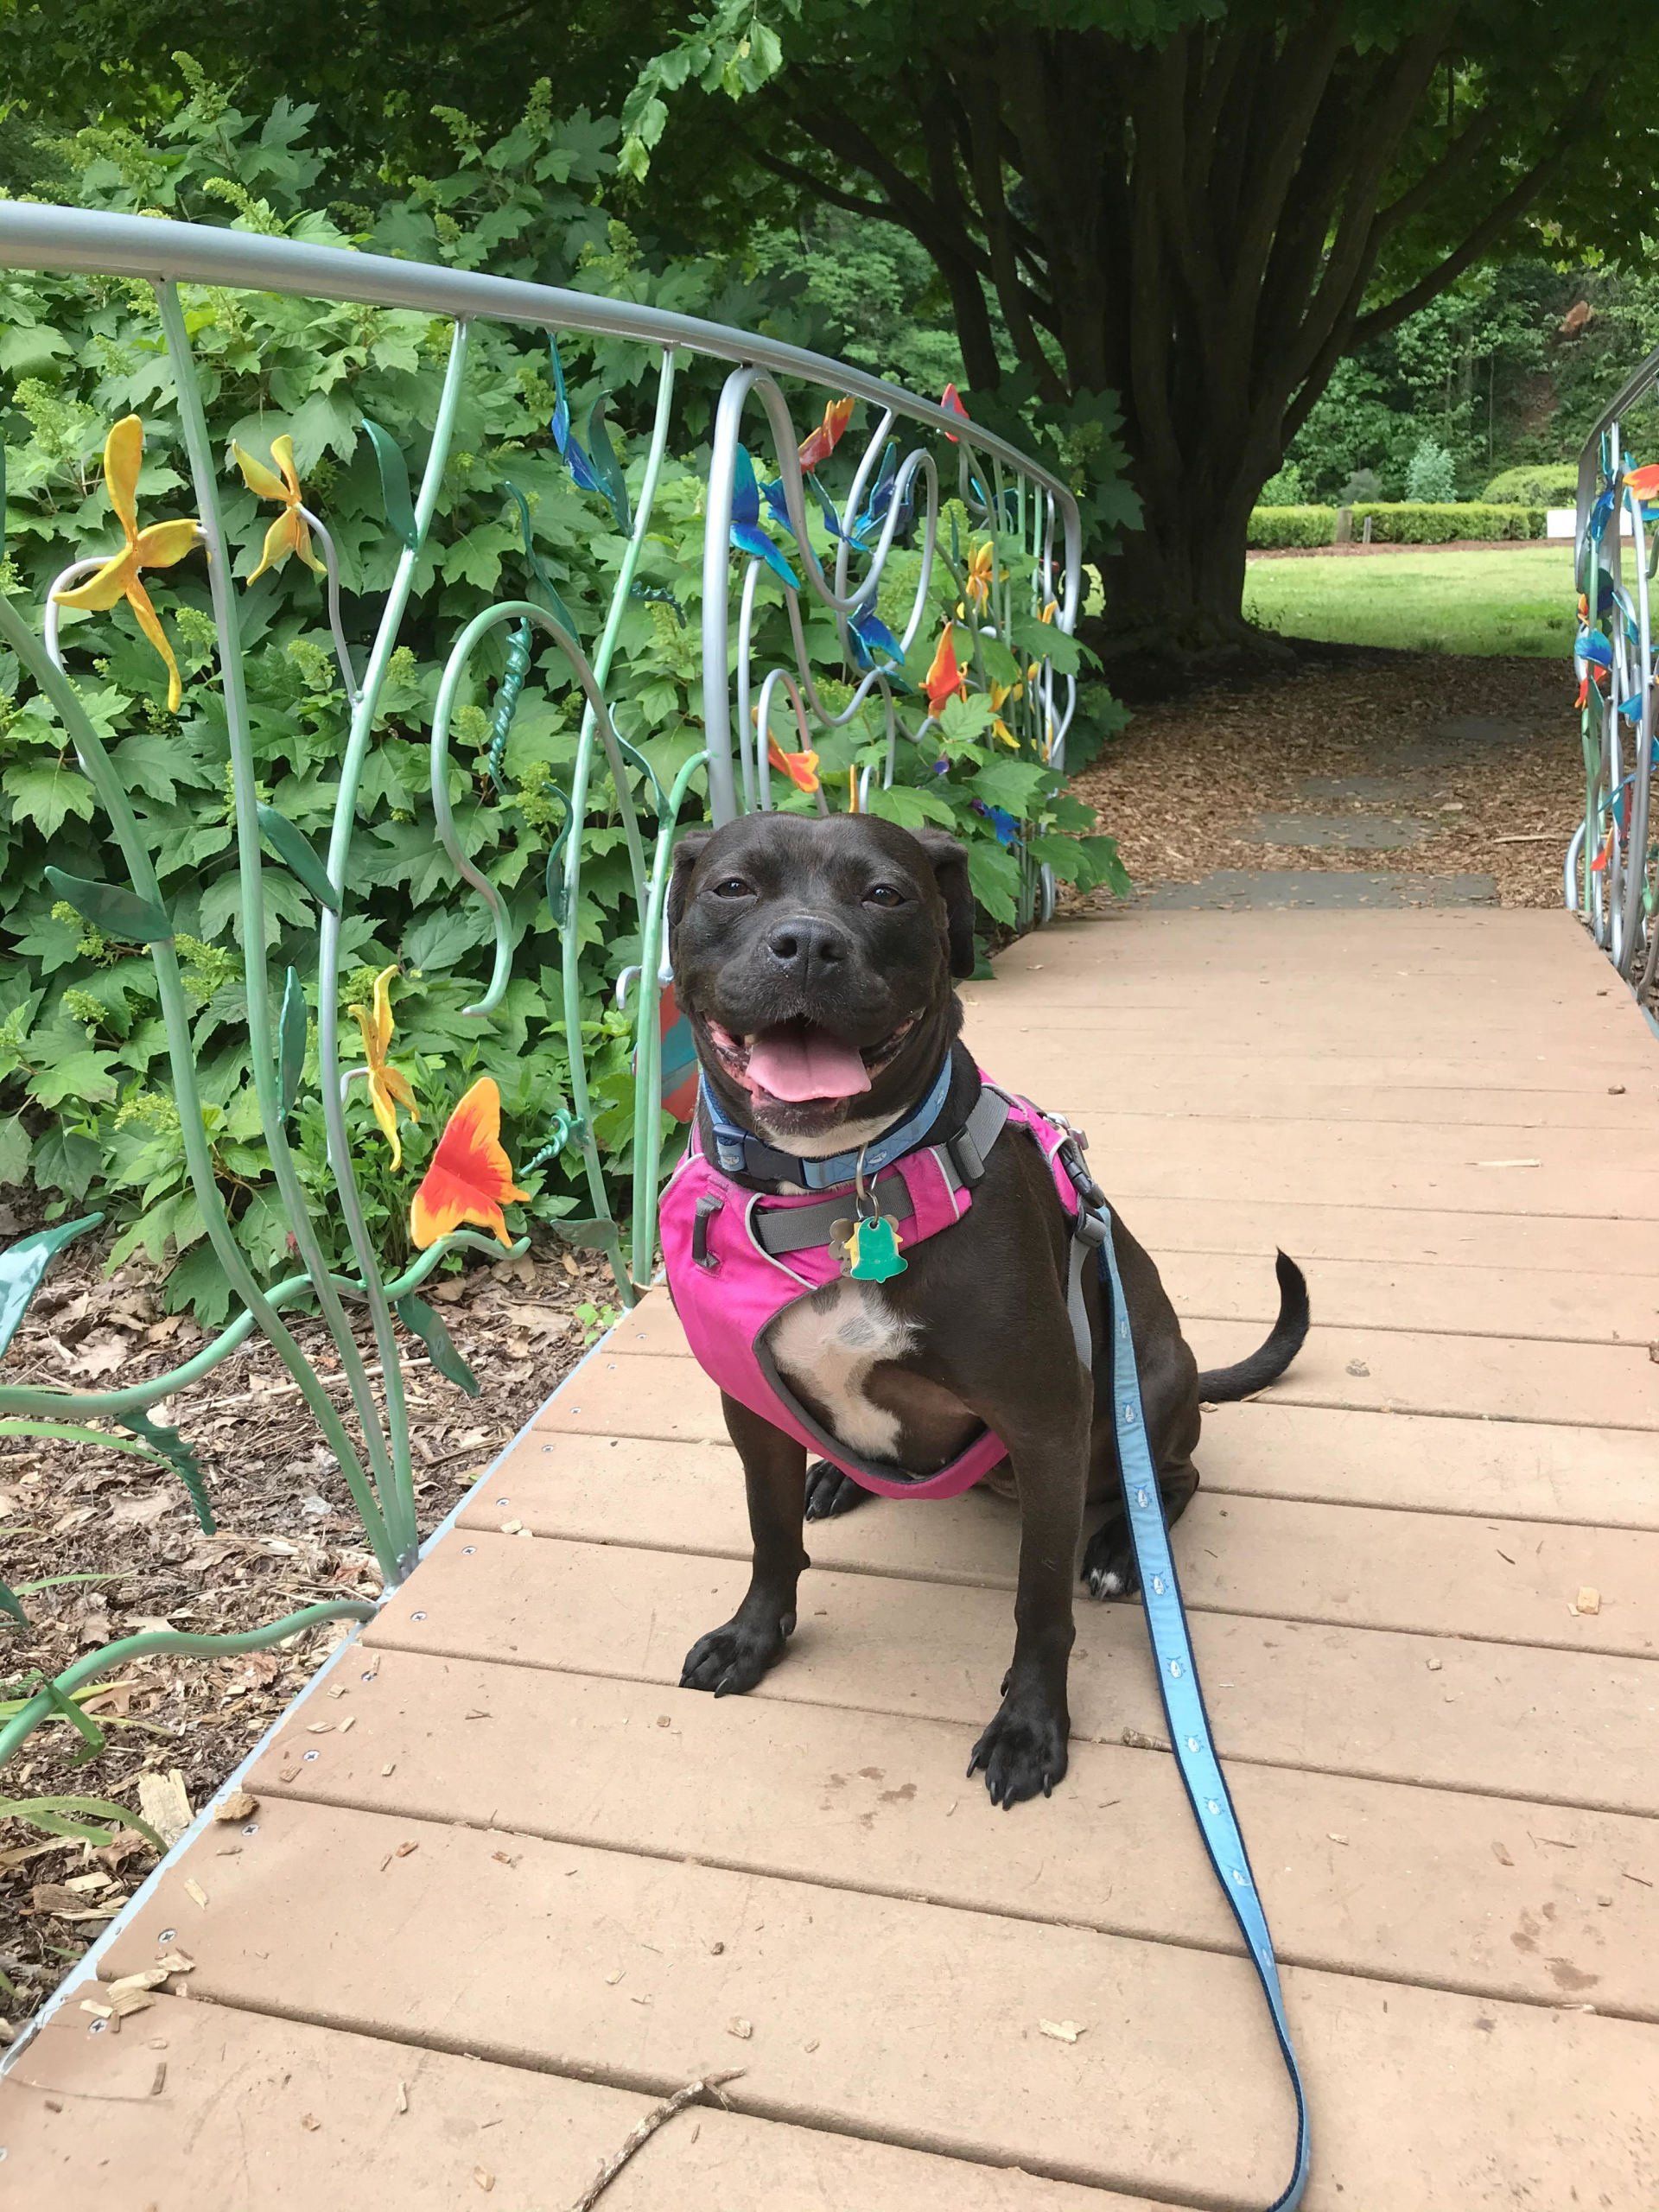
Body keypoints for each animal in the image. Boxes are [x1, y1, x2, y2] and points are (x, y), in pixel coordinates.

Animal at [664, 818, 1309, 1814]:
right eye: (733, 886)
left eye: (885, 894)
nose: (807, 943)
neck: (840, 1191)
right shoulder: (752, 1409)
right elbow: (770, 1536)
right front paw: (752, 1637)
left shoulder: (1045, 1423)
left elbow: (1039, 1601)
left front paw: (1029, 1725)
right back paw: (840, 1477)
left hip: (1152, 1379)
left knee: (1171, 1477)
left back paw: (1123, 1548)